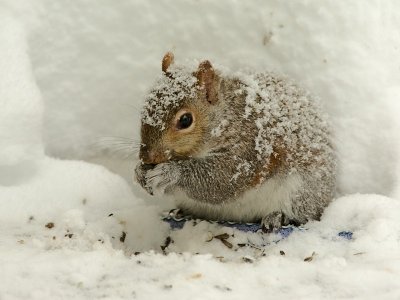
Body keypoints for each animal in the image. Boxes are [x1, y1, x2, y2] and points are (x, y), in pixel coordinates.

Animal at [136, 52, 336, 231]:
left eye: (185, 120)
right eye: (145, 107)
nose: (147, 157)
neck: (226, 117)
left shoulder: (248, 149)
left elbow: (220, 180)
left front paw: (169, 173)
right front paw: (139, 172)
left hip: (301, 191)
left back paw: (278, 216)